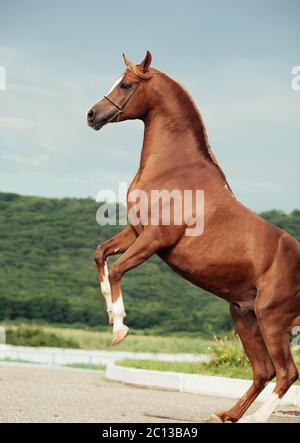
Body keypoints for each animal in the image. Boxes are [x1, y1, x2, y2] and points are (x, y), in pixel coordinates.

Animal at [86, 52, 300, 424]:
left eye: (125, 84)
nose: (92, 115)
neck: (174, 169)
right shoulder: (136, 231)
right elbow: (101, 254)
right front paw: (110, 313)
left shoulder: (155, 239)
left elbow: (118, 269)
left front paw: (119, 329)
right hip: (245, 316)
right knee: (264, 371)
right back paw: (227, 415)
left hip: (274, 320)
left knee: (286, 373)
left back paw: (254, 419)